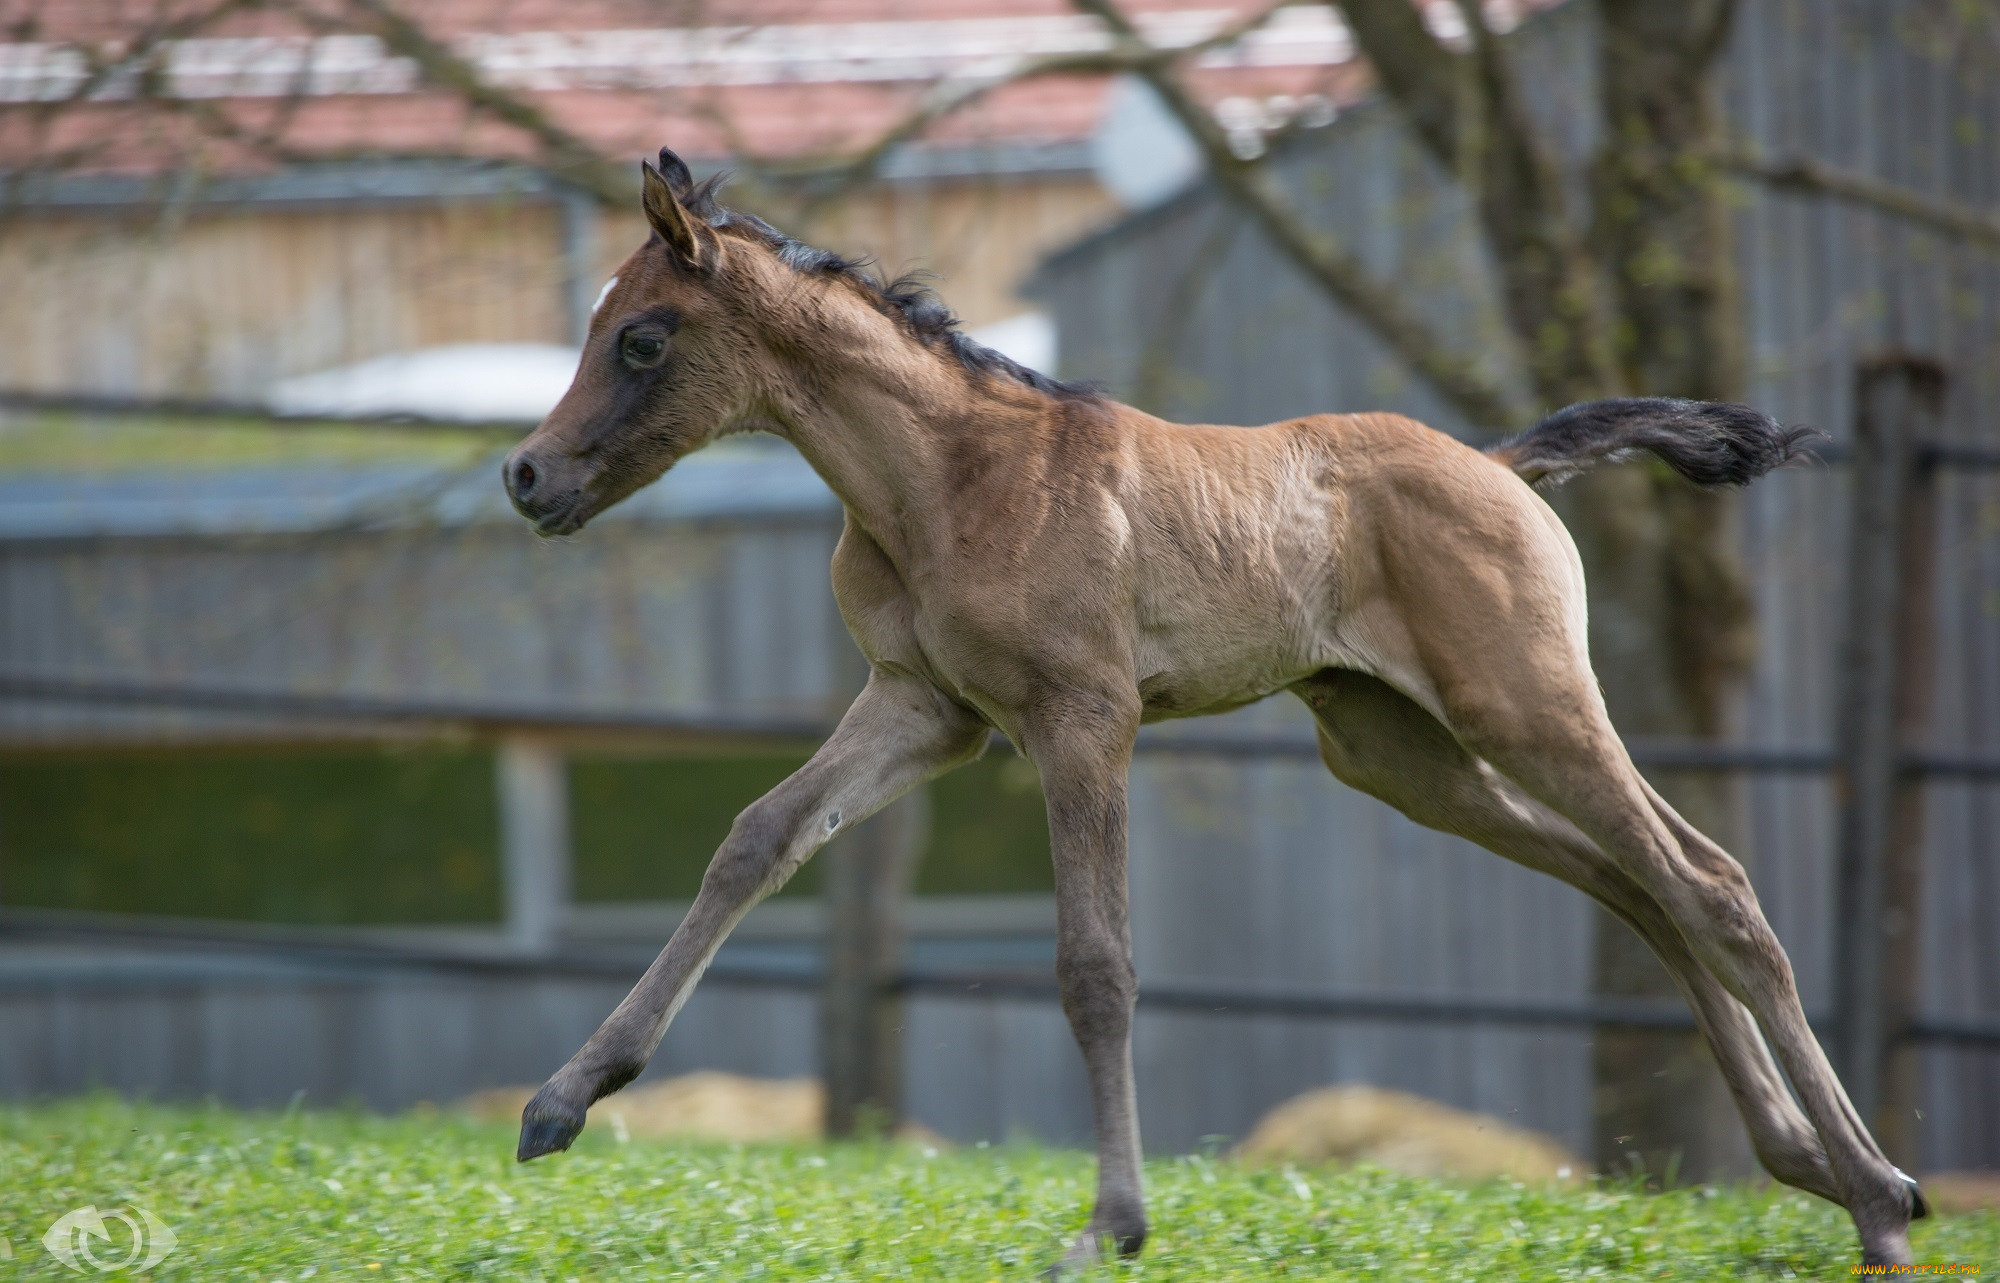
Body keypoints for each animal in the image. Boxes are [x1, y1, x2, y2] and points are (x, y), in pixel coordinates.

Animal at [496, 151, 1920, 1271]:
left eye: (640, 338)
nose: (526, 476)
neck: (944, 481)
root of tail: (1498, 464)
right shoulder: (924, 708)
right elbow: (754, 838)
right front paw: (562, 1100)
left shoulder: (1081, 716)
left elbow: (1095, 964)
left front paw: (1110, 1223)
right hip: (1401, 754)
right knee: (1632, 882)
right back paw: (1817, 1164)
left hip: (1528, 707)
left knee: (1706, 880)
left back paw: (1878, 1197)